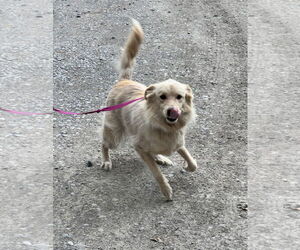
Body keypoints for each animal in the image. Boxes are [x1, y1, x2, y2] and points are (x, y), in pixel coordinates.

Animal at [102, 18, 198, 200]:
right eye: (162, 96)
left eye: (179, 97)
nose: (172, 111)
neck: (164, 126)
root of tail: (123, 81)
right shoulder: (139, 148)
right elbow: (157, 173)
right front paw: (166, 190)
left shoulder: (178, 142)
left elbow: (193, 162)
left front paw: (186, 166)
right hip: (114, 133)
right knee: (104, 143)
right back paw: (105, 160)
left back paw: (160, 157)